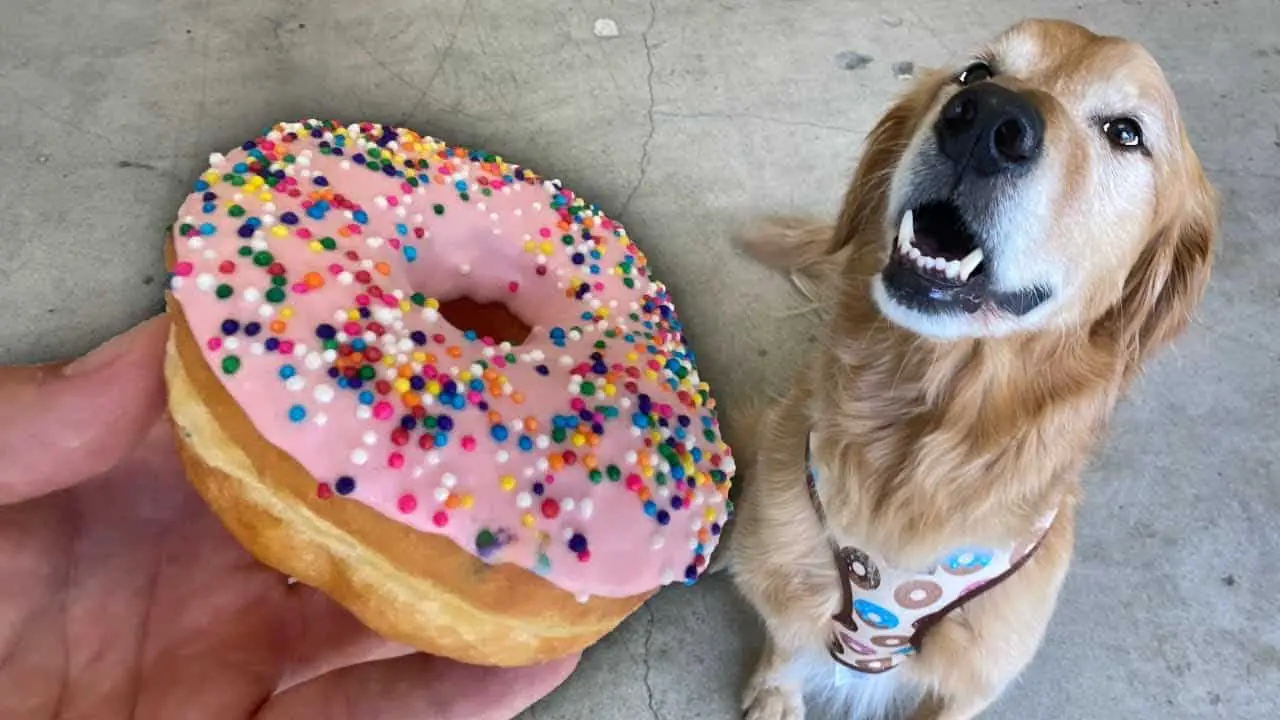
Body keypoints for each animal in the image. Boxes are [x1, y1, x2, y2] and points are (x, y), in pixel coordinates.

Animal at [727, 16, 1213, 717]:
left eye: (1126, 132)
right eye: (976, 73)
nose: (986, 121)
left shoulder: (979, 673)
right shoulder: (785, 561)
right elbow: (786, 643)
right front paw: (775, 694)